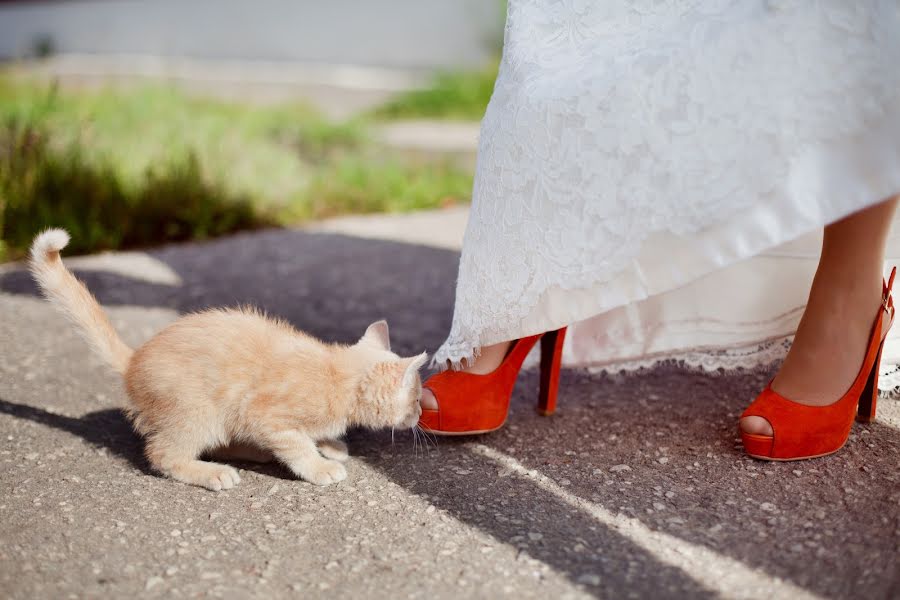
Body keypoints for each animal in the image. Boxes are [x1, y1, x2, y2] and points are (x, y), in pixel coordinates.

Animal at [24, 229, 426, 488]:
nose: (421, 413)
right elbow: (296, 445)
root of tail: (134, 360)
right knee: (163, 453)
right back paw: (211, 472)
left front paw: (329, 444)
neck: (337, 376)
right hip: (198, 412)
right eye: (417, 398)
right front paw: (319, 465)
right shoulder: (267, 414)